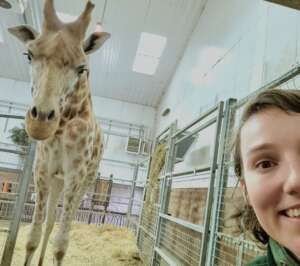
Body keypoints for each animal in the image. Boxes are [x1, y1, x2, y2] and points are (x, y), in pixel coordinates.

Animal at [8, 1, 110, 264]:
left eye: (82, 68)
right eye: (29, 55)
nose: (40, 124)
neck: (65, 123)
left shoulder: (76, 174)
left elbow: (61, 246)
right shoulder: (42, 170)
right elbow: (32, 238)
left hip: (84, 181)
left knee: (64, 222)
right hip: (56, 181)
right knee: (51, 221)